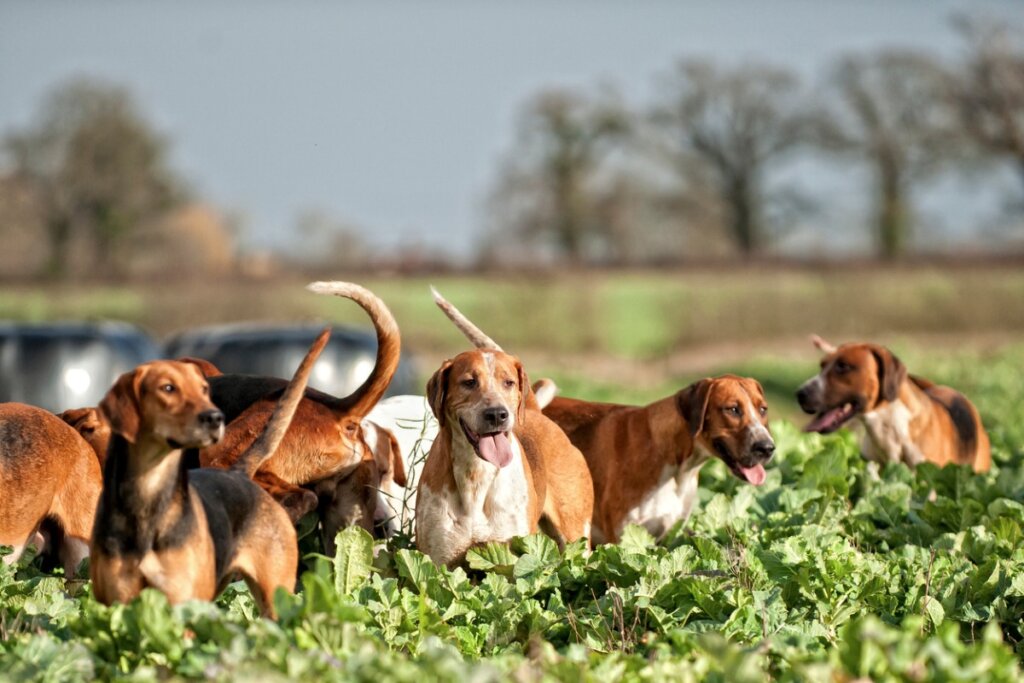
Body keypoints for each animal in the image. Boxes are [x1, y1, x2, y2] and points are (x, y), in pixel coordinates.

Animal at [89, 327, 327, 618]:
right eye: (168, 388)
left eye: (204, 389)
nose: (215, 418)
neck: (148, 498)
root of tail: (238, 473)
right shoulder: (116, 605)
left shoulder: (182, 603)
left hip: (274, 596)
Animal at [413, 288, 593, 565]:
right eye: (469, 382)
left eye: (508, 382)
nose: (498, 414)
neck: (475, 475)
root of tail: (533, 410)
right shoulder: (439, 560)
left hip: (577, 538)